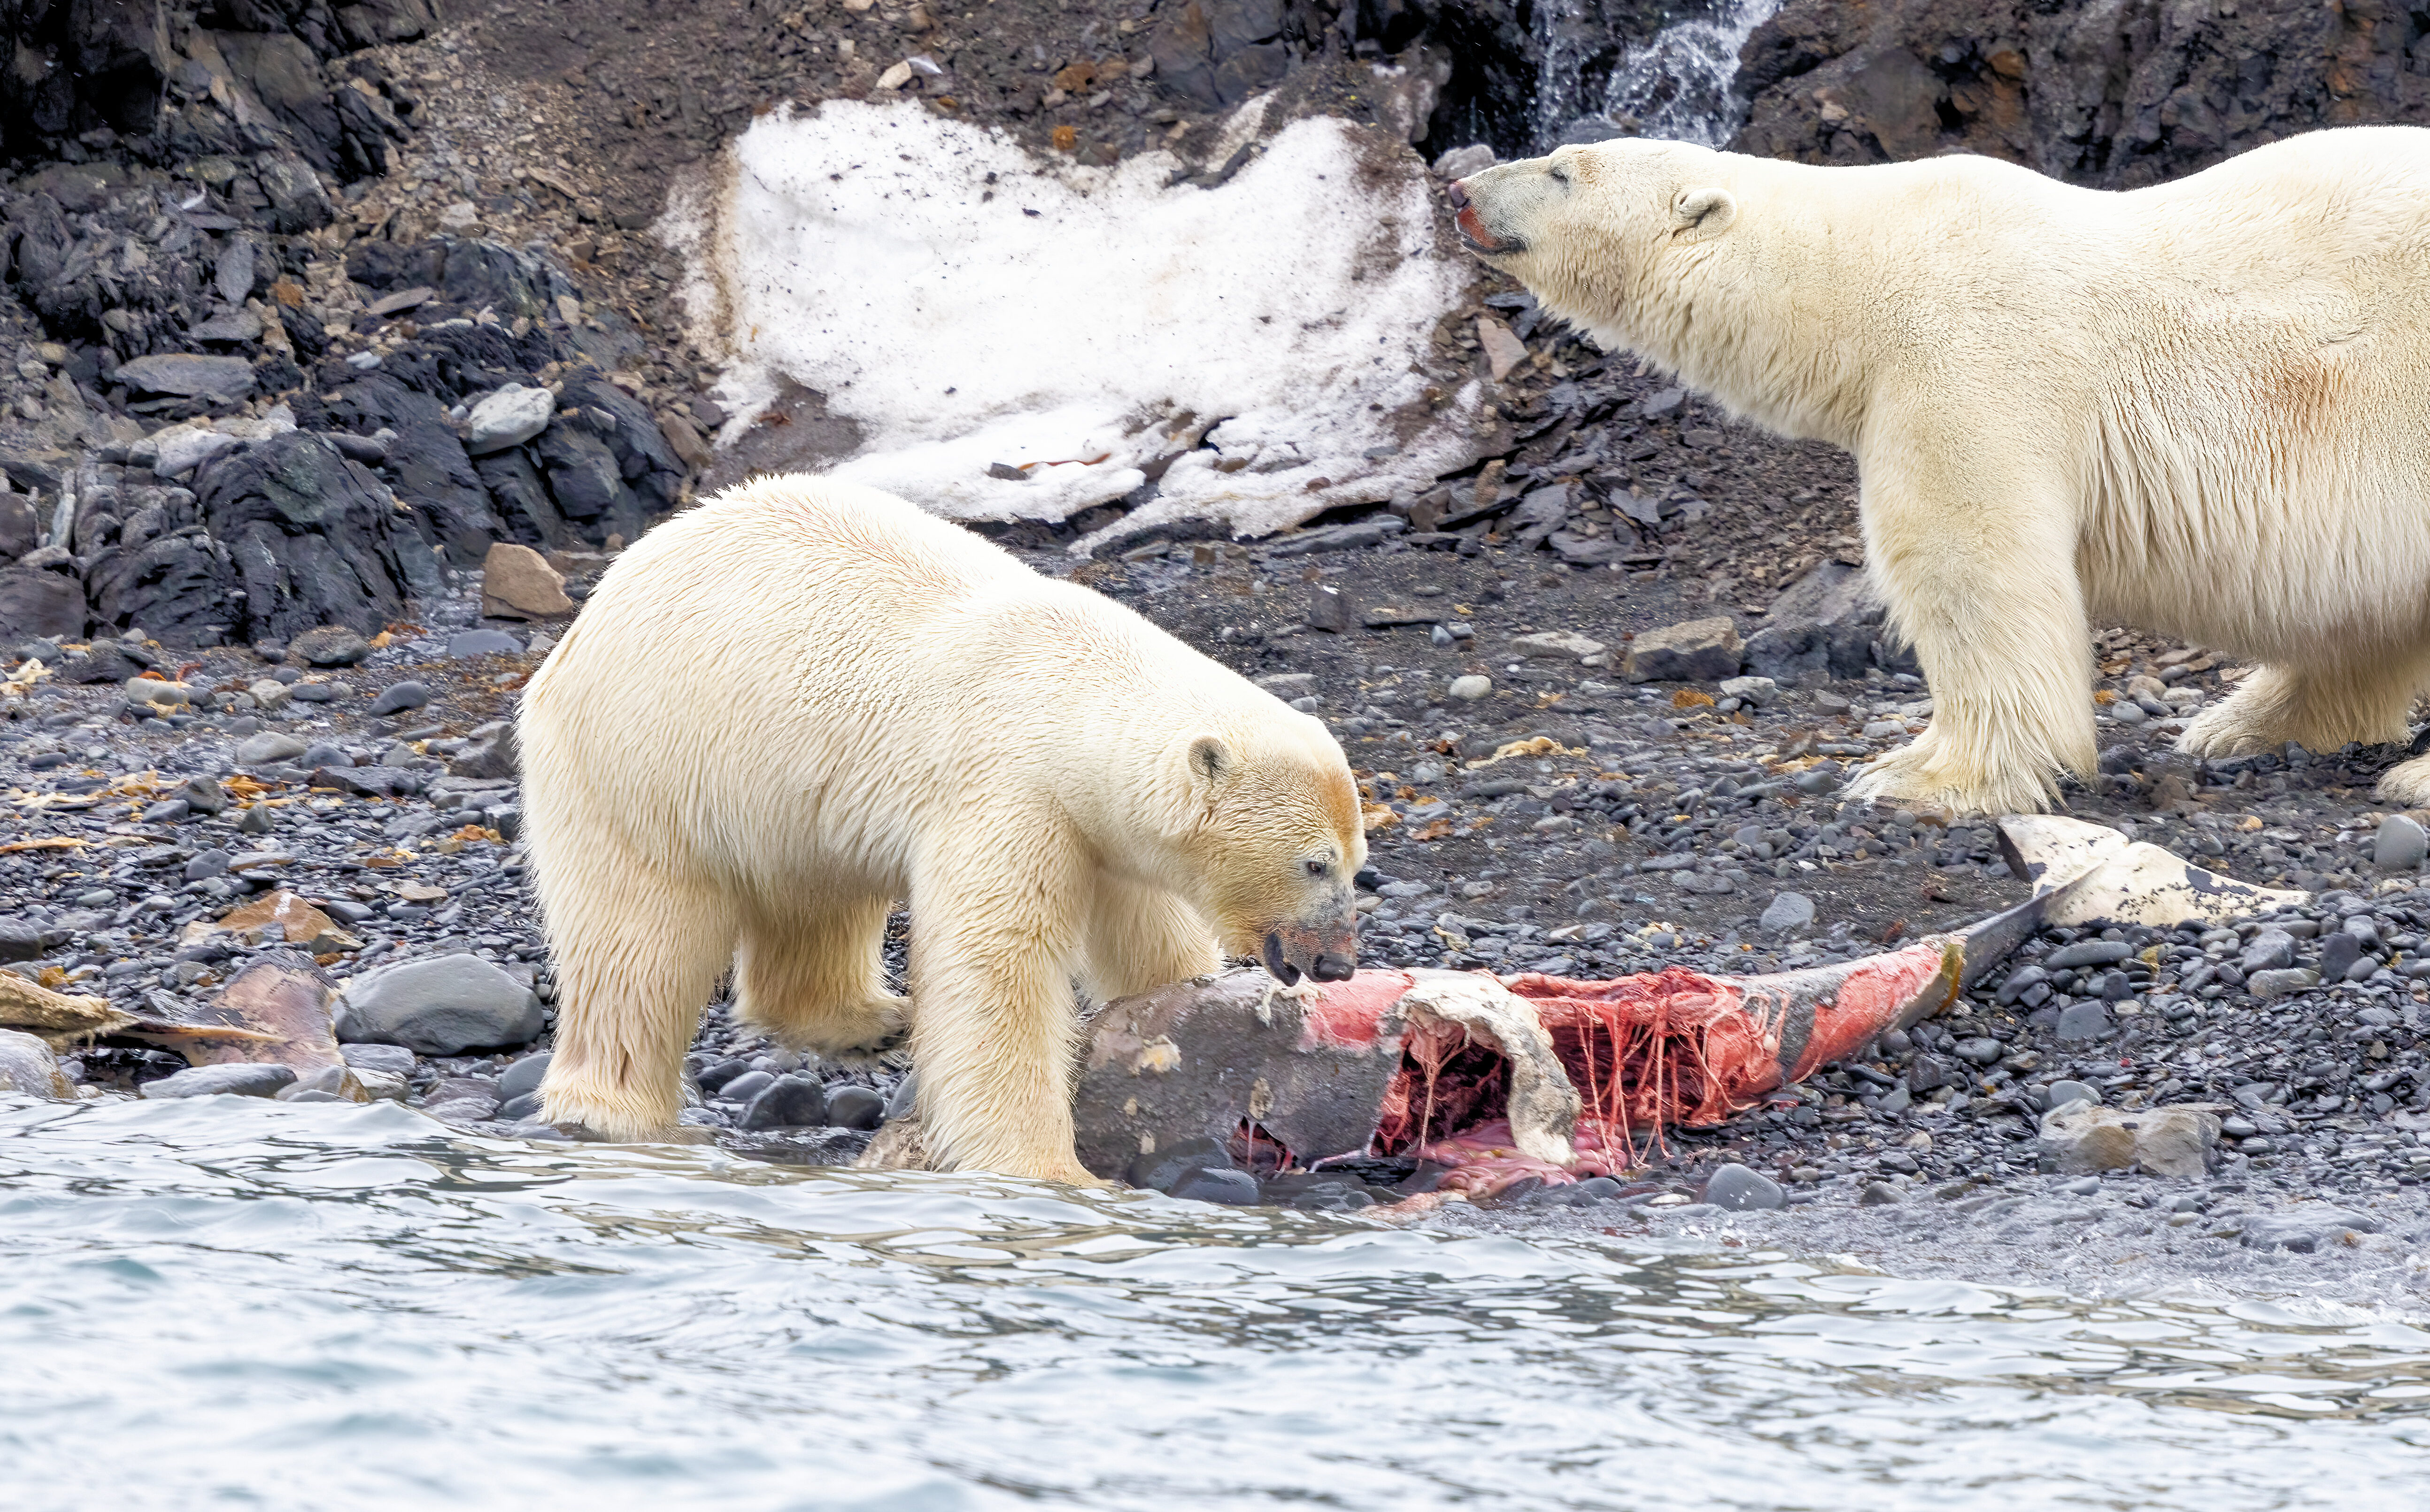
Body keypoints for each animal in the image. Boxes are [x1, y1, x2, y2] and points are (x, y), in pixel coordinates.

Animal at [518, 475, 1364, 1184]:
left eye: (1356, 861)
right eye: (1314, 863)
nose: (1336, 963)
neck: (1068, 687)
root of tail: (590, 614)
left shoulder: (1095, 829)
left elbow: (1143, 932)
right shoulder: (1007, 793)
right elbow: (998, 970)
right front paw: (1049, 1169)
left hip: (784, 794)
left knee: (815, 899)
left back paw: (874, 1021)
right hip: (647, 762)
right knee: (637, 946)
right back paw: (613, 1109)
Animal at [1449, 127, 2430, 816]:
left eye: (1561, 170)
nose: (1457, 190)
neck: (1861, 272)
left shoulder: (1966, 359)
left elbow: (1969, 564)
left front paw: (1927, 778)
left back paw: (2401, 777)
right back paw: (2248, 720)